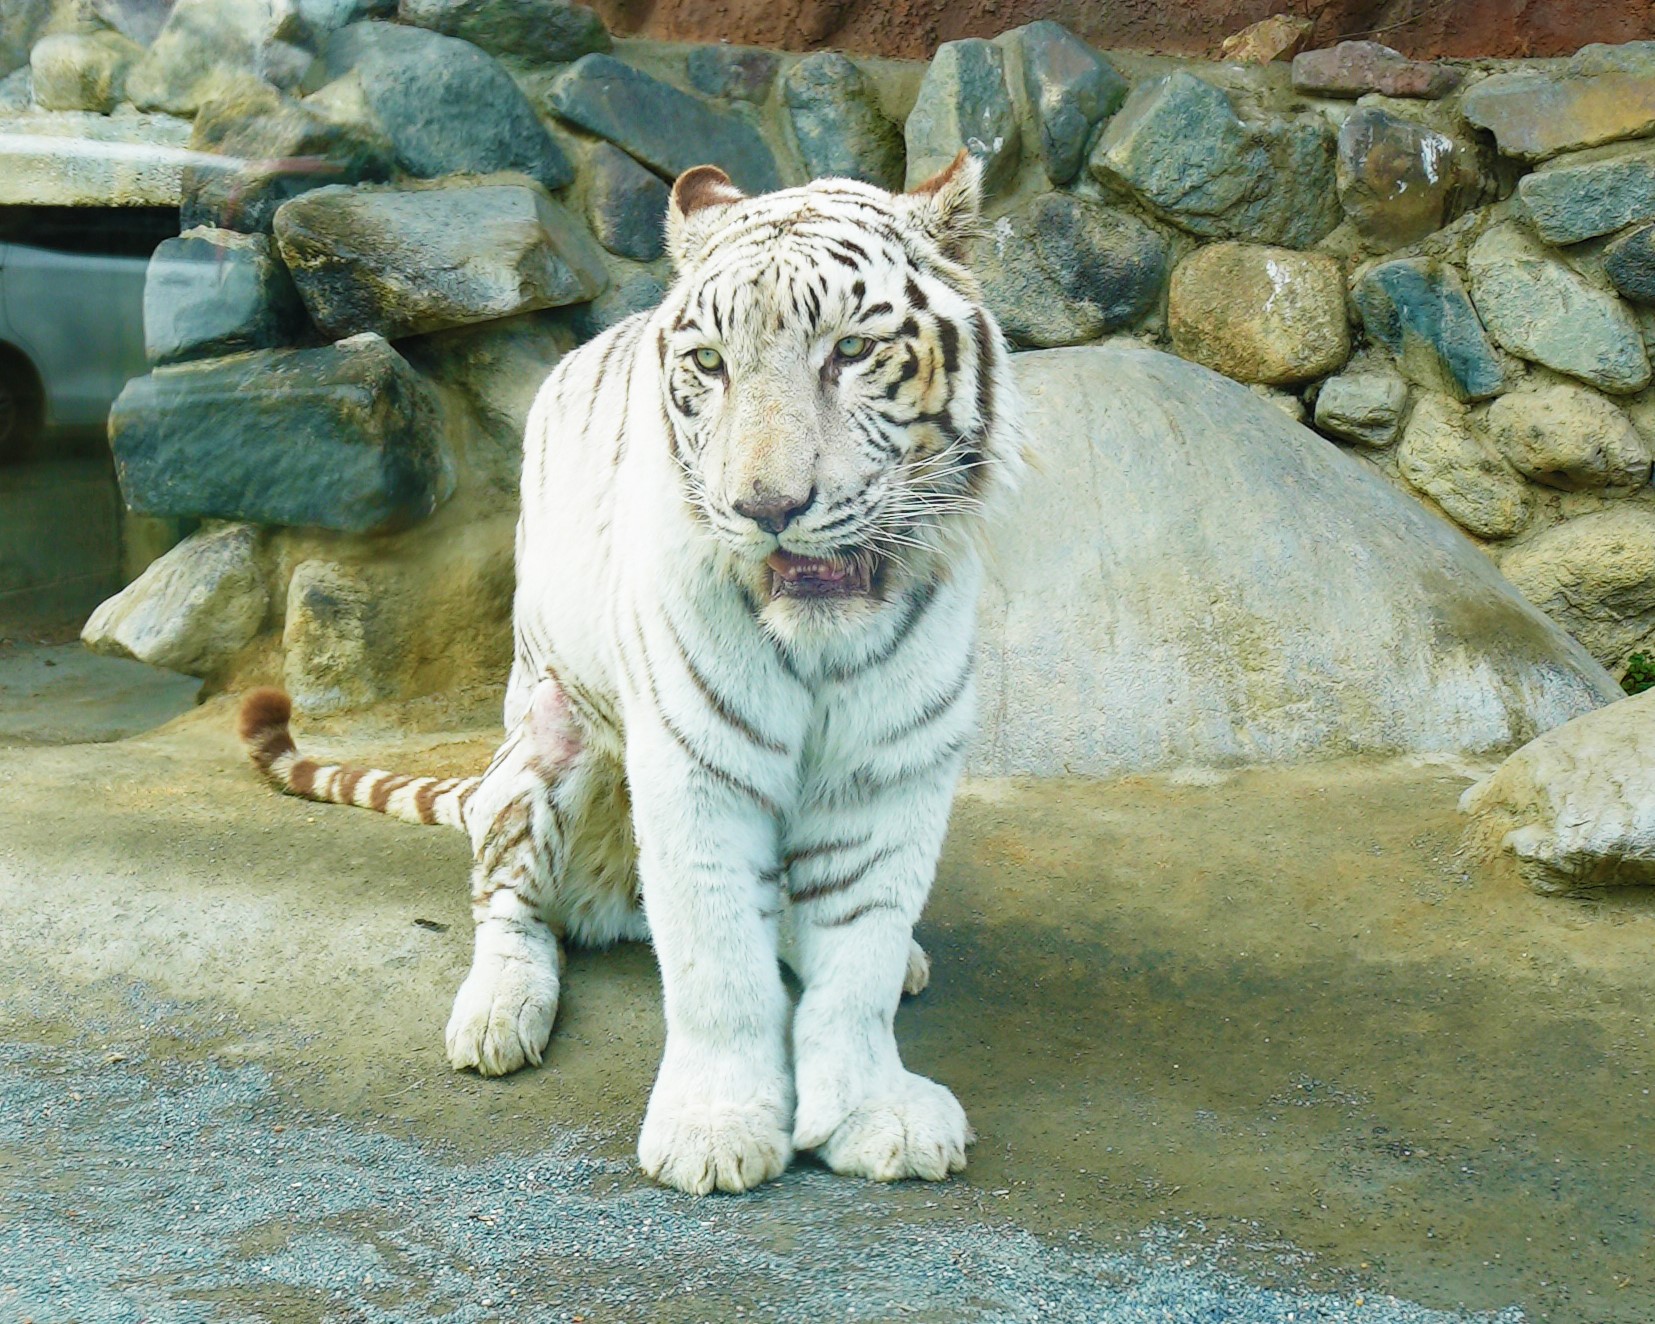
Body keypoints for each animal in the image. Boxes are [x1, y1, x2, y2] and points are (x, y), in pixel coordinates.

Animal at [238, 152, 1019, 1191]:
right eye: (710, 364)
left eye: (851, 351)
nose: (765, 508)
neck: (821, 640)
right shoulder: (693, 759)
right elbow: (715, 956)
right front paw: (715, 1128)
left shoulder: (892, 762)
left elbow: (857, 950)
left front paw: (869, 1111)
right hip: (543, 740)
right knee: (508, 903)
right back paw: (497, 1014)